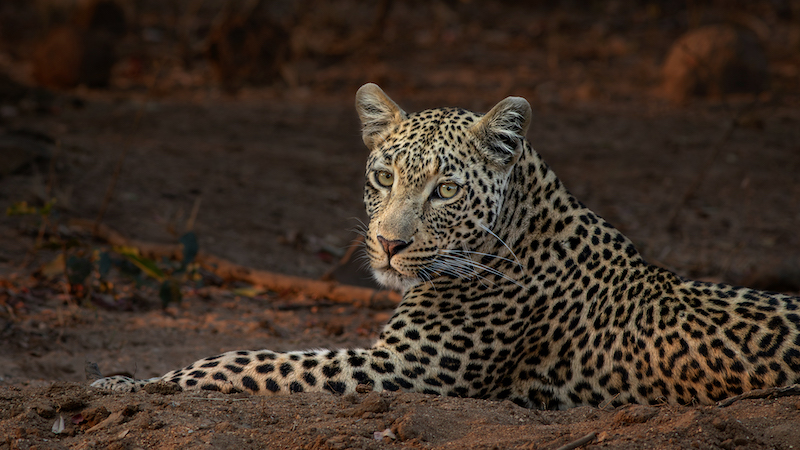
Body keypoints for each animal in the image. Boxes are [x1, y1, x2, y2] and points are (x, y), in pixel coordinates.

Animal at [91, 83, 800, 409]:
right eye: (385, 177)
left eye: (446, 190)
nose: (387, 244)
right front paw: (127, 378)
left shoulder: (401, 370)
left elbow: (249, 360)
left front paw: (131, 384)